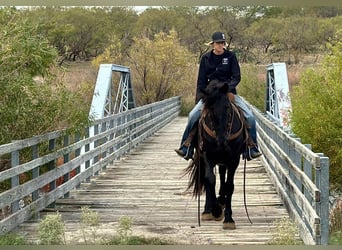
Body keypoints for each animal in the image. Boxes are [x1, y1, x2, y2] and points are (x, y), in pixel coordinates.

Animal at [183, 80, 247, 230]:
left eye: (227, 107)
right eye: (211, 110)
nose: (221, 141)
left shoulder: (233, 159)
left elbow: (229, 186)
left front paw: (228, 219)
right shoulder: (207, 155)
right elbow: (210, 180)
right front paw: (216, 210)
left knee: (222, 175)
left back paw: (221, 200)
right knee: (208, 180)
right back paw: (208, 211)